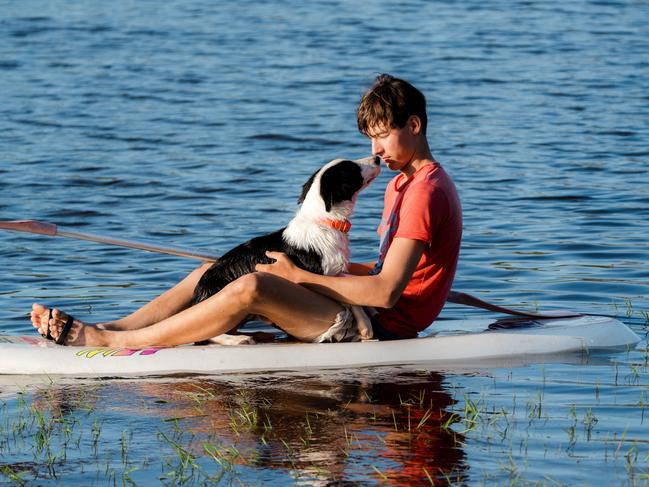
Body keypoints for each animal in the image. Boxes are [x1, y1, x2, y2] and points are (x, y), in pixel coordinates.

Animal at [195, 155, 382, 344]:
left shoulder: (335, 272)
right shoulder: (320, 278)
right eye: (352, 168)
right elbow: (346, 298)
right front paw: (366, 326)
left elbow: (353, 297)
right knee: (208, 334)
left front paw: (365, 325)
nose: (377, 158)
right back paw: (239, 339)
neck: (325, 220)